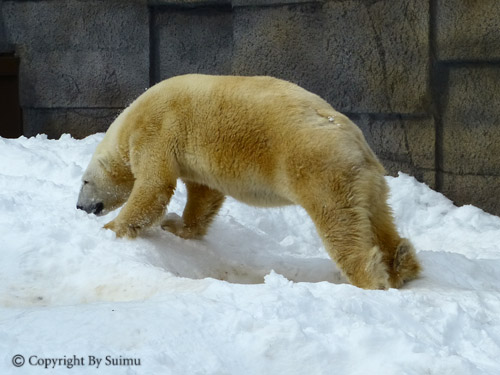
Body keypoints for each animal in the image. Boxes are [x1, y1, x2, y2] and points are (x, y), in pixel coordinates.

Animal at [77, 74, 422, 290]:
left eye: (84, 181)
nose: (80, 207)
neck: (129, 121)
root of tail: (355, 140)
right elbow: (204, 196)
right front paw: (178, 226)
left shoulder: (156, 129)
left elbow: (154, 186)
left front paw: (112, 229)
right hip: (368, 180)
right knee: (379, 217)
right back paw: (402, 264)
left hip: (322, 170)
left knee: (340, 224)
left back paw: (370, 279)